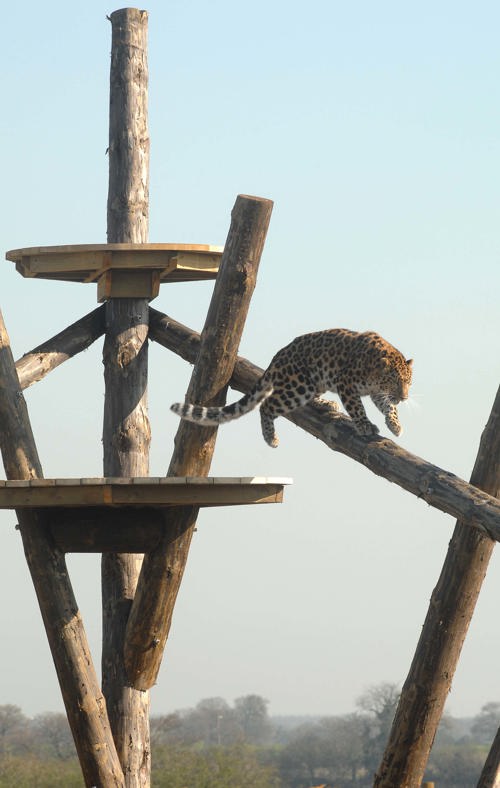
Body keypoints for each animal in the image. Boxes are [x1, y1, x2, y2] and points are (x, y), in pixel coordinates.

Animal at [170, 328, 413, 447]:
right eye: (395, 381)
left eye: (408, 383)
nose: (404, 397)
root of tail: (278, 356)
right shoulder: (347, 383)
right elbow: (357, 408)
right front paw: (365, 425)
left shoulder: (377, 392)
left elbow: (388, 407)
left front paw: (395, 425)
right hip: (299, 386)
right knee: (266, 405)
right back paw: (270, 438)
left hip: (315, 382)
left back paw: (327, 403)